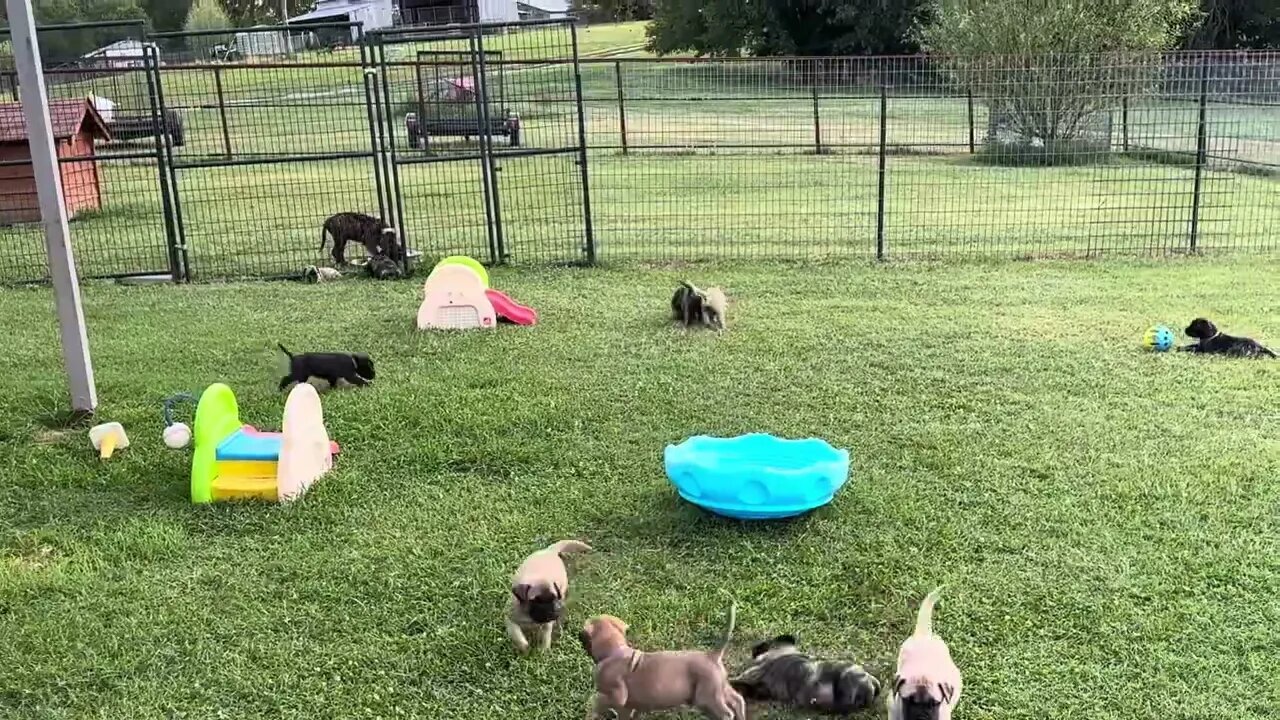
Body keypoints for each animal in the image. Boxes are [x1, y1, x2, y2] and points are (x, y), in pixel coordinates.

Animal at [578, 599, 747, 717]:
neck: (614, 651)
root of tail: (712, 655)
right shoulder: (628, 708)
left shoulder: (617, 697)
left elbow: (597, 702)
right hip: (720, 687)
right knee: (738, 700)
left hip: (707, 697)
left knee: (726, 713)